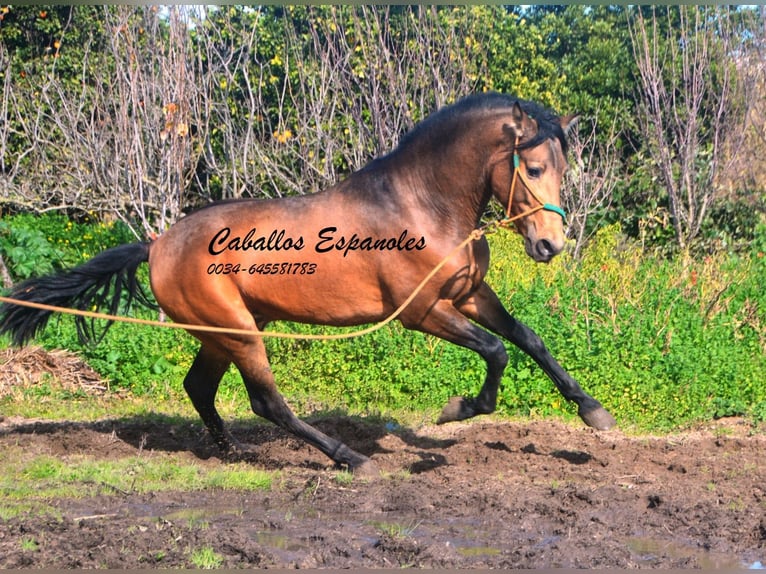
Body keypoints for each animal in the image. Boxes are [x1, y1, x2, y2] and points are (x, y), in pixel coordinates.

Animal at [0, 93, 615, 475]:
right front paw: (457, 410)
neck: (421, 205)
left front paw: (593, 412)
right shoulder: (421, 311)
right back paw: (351, 459)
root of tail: (158, 245)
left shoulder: (467, 294)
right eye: (532, 168)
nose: (550, 245)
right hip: (239, 332)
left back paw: (232, 451)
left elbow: (528, 339)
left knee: (199, 388)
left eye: (563, 167)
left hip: (224, 331)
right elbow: (495, 351)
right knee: (267, 401)